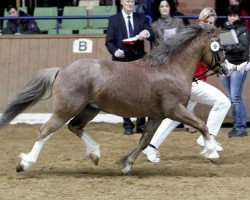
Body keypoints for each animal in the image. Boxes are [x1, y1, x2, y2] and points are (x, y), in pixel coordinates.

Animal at [0, 25, 229, 175]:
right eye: (220, 47)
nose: (227, 69)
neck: (170, 68)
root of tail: (62, 70)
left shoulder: (156, 116)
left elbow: (144, 140)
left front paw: (126, 164)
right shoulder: (175, 109)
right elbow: (201, 125)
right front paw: (212, 153)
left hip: (90, 109)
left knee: (75, 127)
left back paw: (95, 154)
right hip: (66, 108)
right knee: (45, 131)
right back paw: (25, 163)